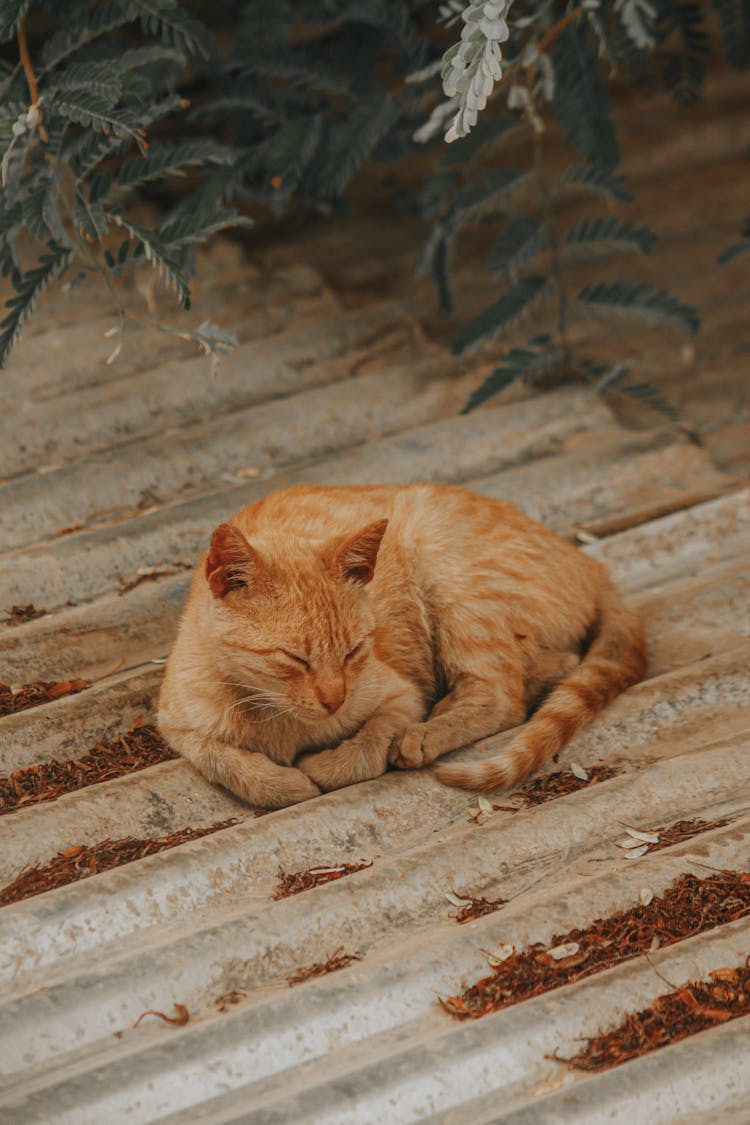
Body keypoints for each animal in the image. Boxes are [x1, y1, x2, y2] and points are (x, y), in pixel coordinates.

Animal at [157, 483, 647, 810]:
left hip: (451, 576)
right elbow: (225, 760)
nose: (335, 701)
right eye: (294, 658)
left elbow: (369, 745)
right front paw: (283, 784)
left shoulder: (401, 693)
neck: (280, 718)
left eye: (354, 650)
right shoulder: (177, 726)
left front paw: (321, 769)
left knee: (504, 696)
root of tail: (590, 563)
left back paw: (425, 734)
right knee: (553, 665)